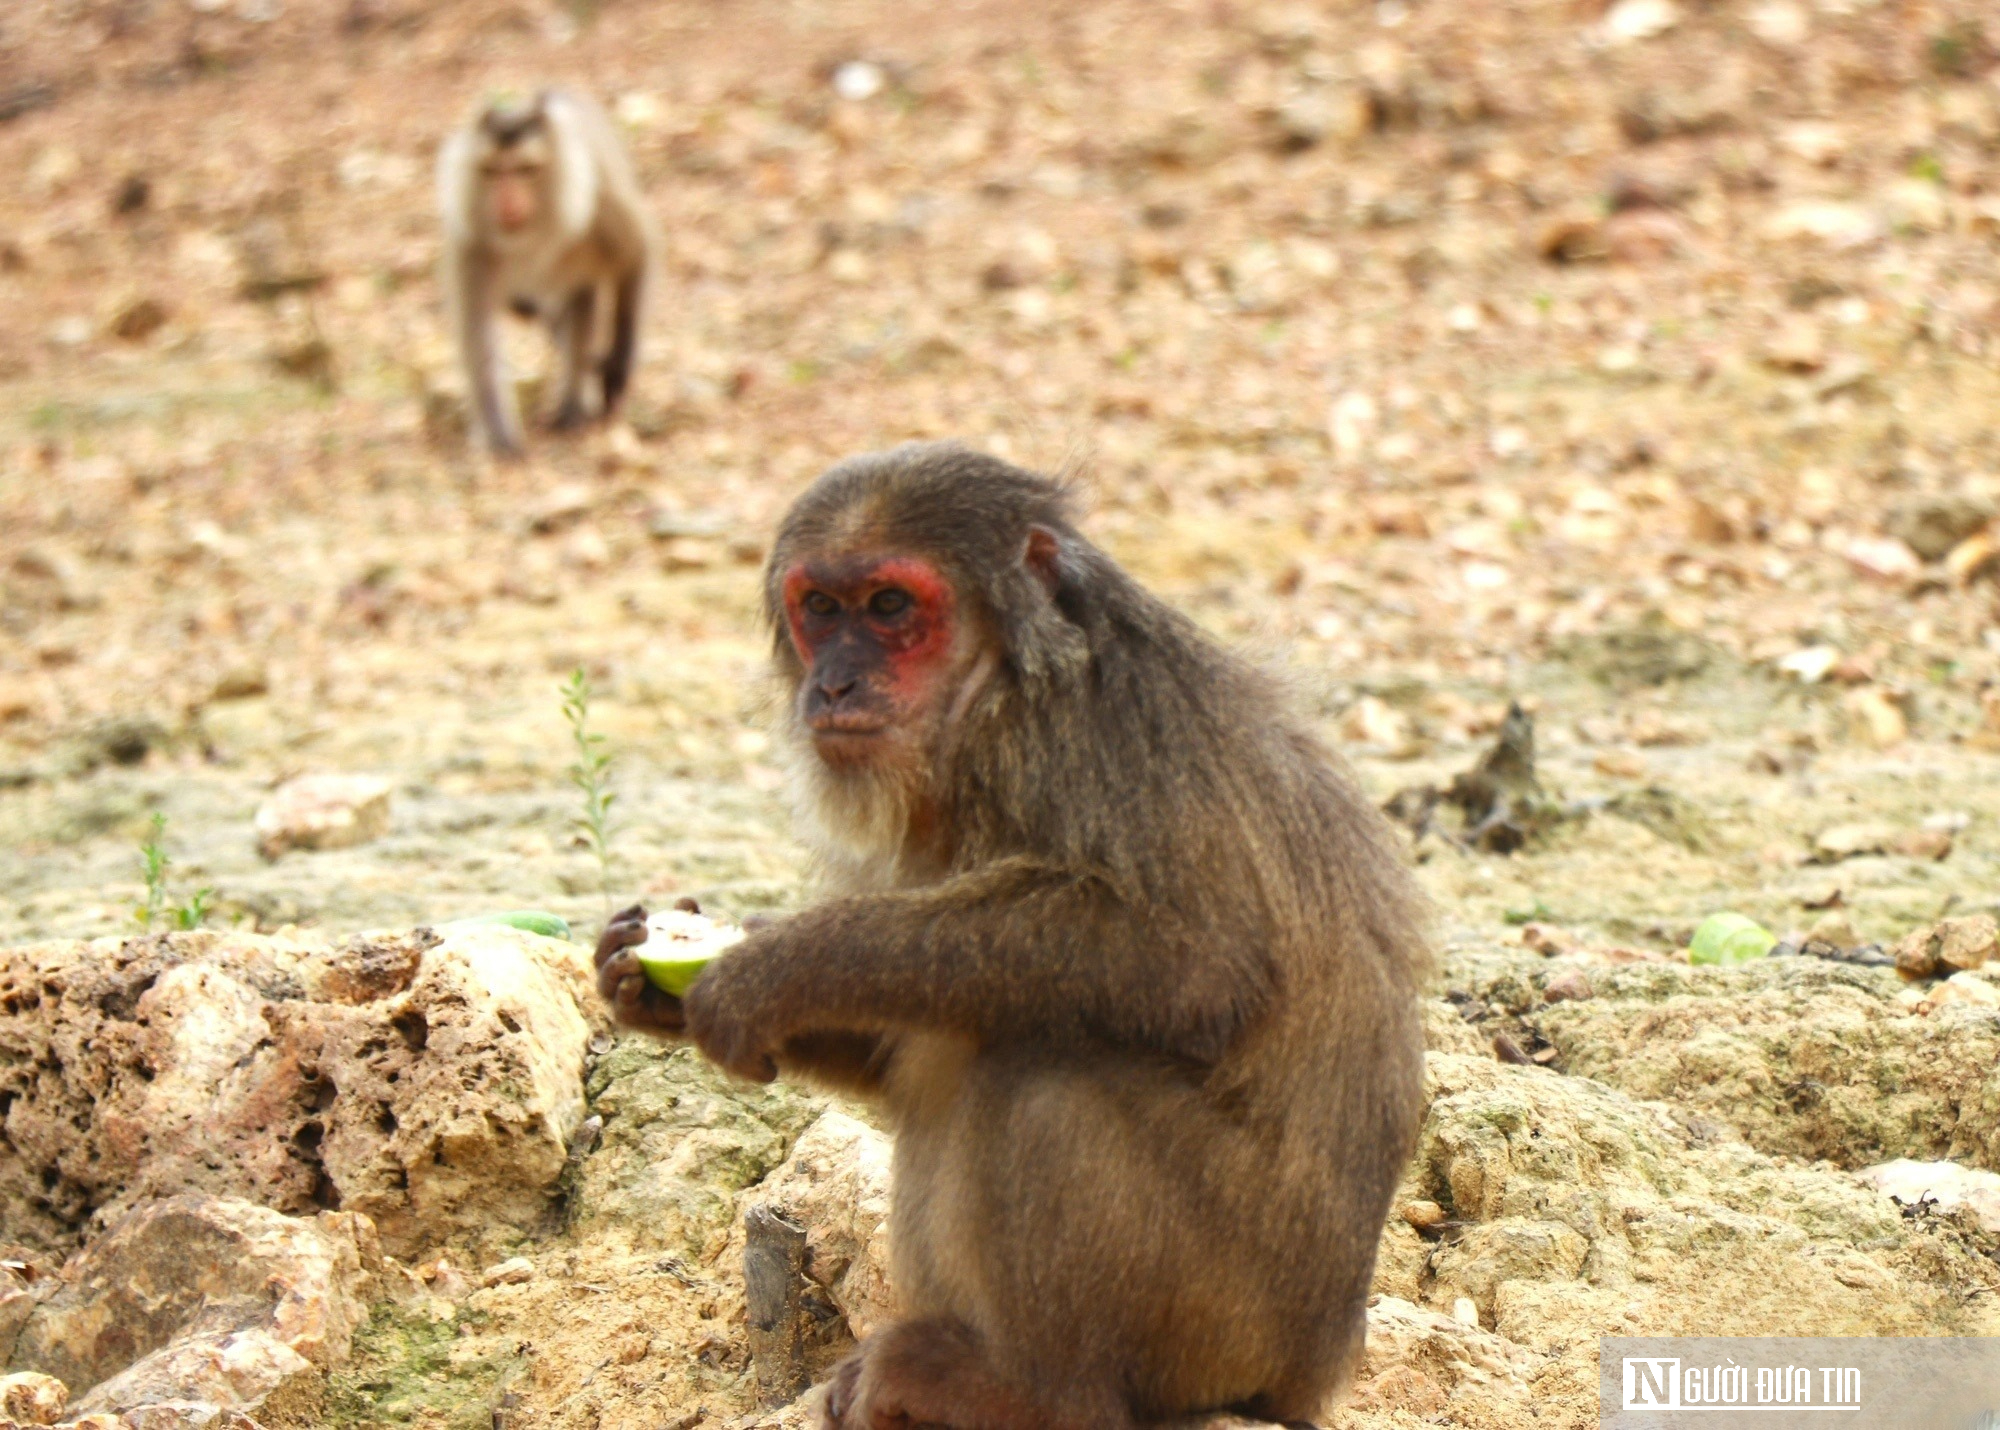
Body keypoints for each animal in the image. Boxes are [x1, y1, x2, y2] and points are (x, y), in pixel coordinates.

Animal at [438, 88, 656, 458]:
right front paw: (500, 436)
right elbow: (477, 330)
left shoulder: (600, 208)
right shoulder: (472, 243)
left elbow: (637, 255)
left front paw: (617, 368)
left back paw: (575, 403)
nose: (506, 202)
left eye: (526, 169)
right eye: (492, 170)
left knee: (582, 297)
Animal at [596, 448, 1440, 1430]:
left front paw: (770, 969)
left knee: (1039, 1080)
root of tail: (1321, 1363)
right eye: (823, 609)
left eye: (890, 607)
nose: (833, 684)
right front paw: (641, 986)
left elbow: (1194, 958)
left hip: (1236, 1316)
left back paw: (1030, 1391)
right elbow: (895, 1053)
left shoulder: (1087, 735)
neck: (986, 697)